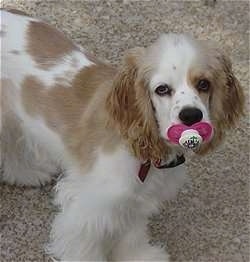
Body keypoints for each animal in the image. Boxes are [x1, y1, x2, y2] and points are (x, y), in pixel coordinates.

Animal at [0, 8, 245, 262]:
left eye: (204, 84)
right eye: (162, 89)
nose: (191, 115)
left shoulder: (136, 200)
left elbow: (131, 235)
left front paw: (139, 256)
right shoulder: (88, 206)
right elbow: (85, 246)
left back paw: (26, 173)